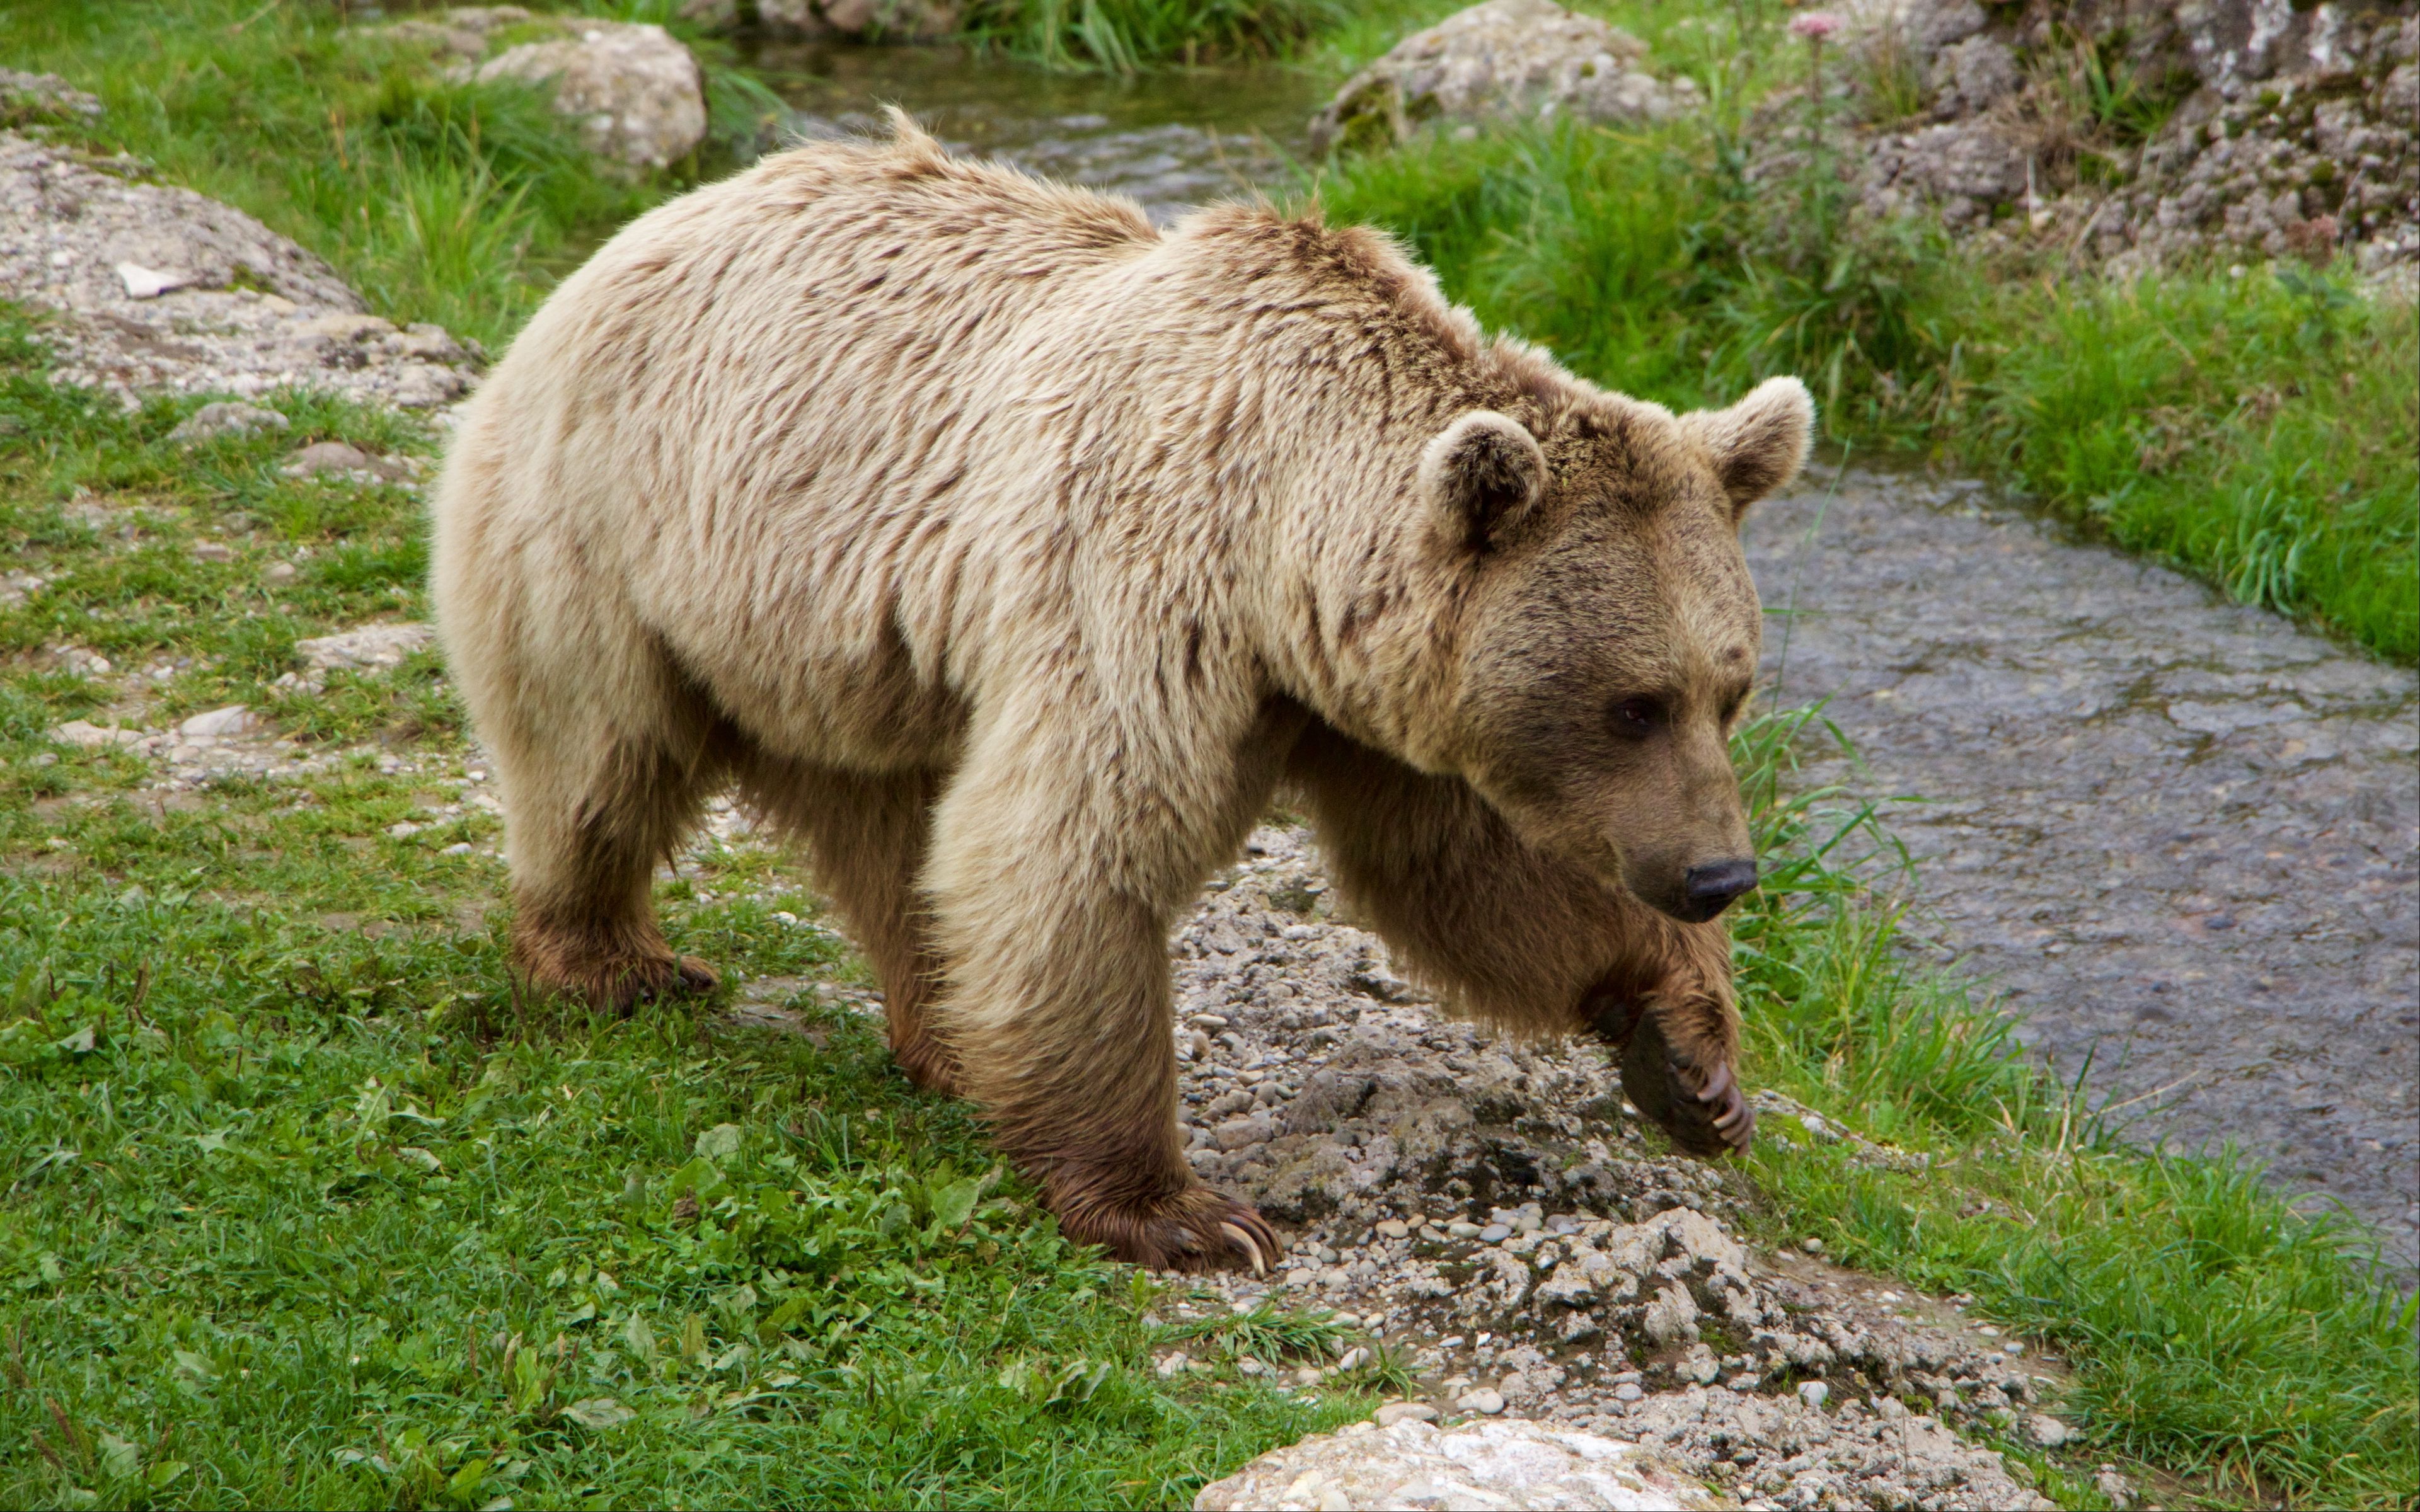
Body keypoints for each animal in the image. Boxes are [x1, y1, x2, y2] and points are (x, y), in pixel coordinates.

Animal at [425, 115, 1810, 1277]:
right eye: (1634, 703)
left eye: (1730, 690)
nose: (1720, 874)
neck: (1284, 547)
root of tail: (630, 237)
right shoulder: (1142, 585)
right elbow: (1078, 847)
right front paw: (1181, 1212)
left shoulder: (1368, 701)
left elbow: (1467, 871)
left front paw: (1692, 1060)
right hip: (627, 535)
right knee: (599, 756)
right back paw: (614, 962)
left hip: (845, 654)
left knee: (895, 837)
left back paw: (946, 1035)